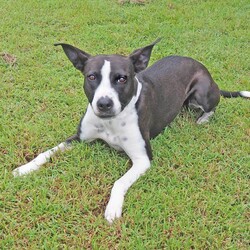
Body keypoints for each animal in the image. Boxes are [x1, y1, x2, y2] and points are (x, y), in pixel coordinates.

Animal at [12, 38, 250, 223]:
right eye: (91, 76)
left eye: (122, 78)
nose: (104, 104)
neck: (111, 122)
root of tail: (201, 66)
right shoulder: (79, 138)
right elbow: (46, 153)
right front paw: (24, 168)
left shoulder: (143, 159)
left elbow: (119, 182)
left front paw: (112, 208)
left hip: (202, 92)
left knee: (212, 106)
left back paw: (203, 119)